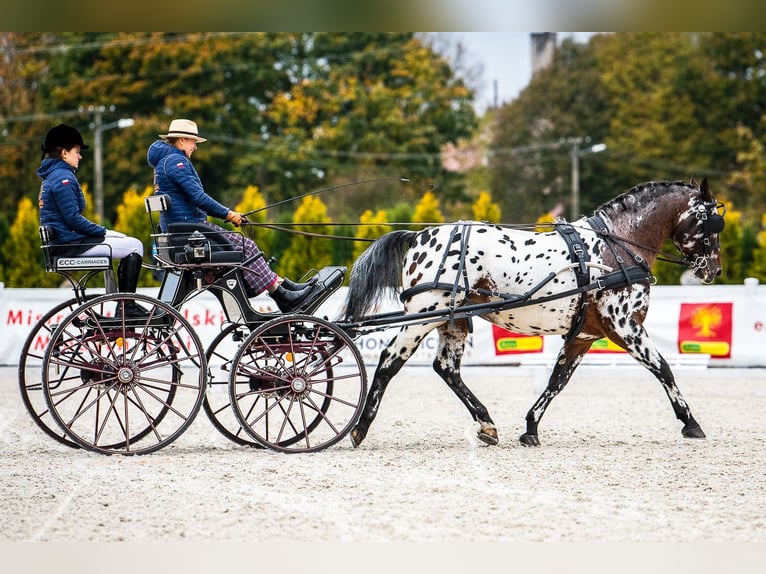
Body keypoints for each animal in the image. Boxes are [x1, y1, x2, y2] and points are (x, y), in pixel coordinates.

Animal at [342, 180, 728, 450]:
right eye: (712, 224)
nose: (714, 270)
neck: (616, 247)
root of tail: (421, 235)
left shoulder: (583, 335)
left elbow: (557, 381)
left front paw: (530, 428)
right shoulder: (625, 326)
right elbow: (663, 368)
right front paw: (690, 422)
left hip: (453, 321)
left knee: (446, 368)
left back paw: (486, 424)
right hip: (422, 317)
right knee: (389, 361)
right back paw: (359, 428)